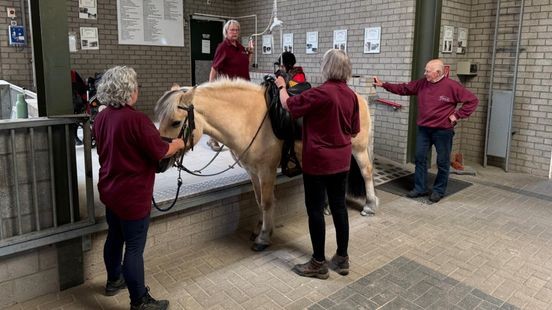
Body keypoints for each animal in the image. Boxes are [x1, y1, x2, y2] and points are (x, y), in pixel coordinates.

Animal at [155, 78, 380, 251]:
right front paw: (259, 228)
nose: (160, 161)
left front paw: (263, 237)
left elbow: (267, 202)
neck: (248, 118)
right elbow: (258, 200)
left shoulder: (267, 171)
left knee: (367, 172)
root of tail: (359, 97)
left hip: (359, 149)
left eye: (176, 122)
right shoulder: (253, 171)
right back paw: (327, 207)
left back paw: (370, 205)